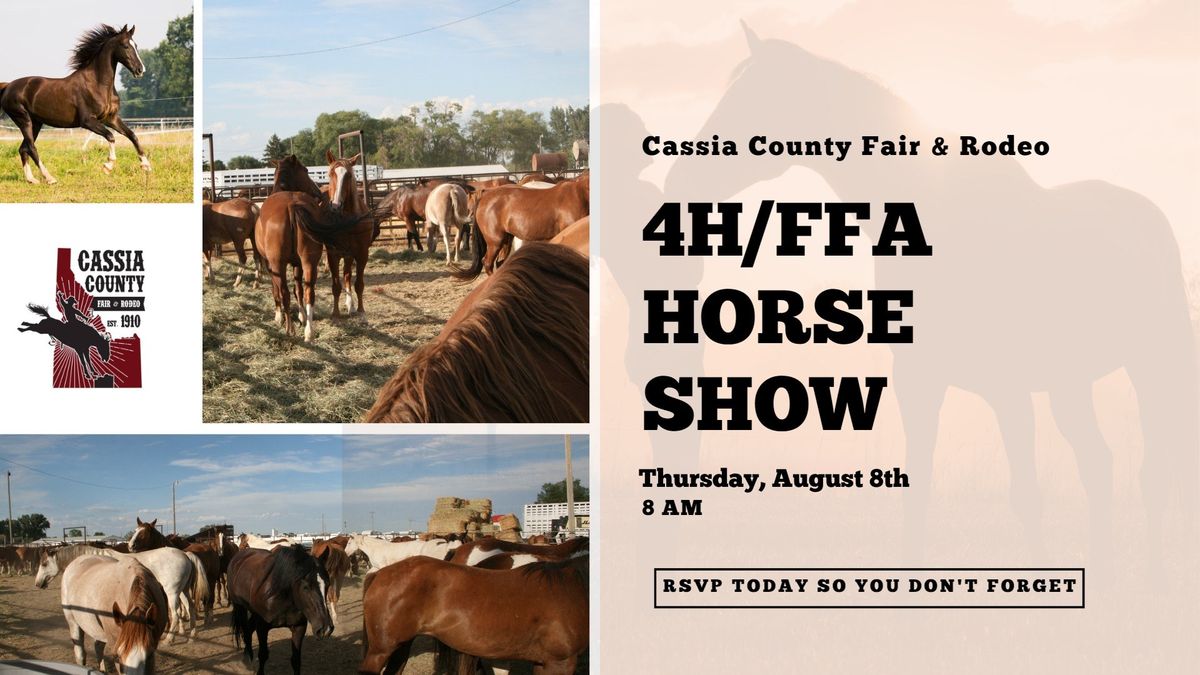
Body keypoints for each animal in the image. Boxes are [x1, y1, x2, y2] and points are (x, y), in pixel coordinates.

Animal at [0, 24, 151, 183]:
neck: (97, 84)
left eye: (136, 45)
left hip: (36, 123)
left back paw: (31, 179)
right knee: (31, 148)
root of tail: (8, 86)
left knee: (23, 149)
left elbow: (132, 135)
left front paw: (146, 165)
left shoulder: (111, 118)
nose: (140, 70)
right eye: (126, 46)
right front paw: (108, 166)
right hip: (24, 120)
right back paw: (50, 178)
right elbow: (110, 136)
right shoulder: (88, 121)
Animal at [35, 540, 211, 638]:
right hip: (183, 590)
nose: (37, 584)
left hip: (172, 592)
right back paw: (192, 635)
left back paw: (169, 640)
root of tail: (185, 554)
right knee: (190, 607)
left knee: (175, 614)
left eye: (44, 563)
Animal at [226, 540, 333, 672]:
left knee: (248, 629)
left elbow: (296, 660)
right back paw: (247, 658)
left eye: (328, 584)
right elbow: (263, 655)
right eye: (306, 586)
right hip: (240, 607)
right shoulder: (262, 627)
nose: (325, 628)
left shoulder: (299, 627)